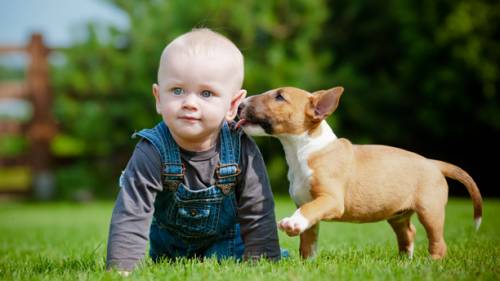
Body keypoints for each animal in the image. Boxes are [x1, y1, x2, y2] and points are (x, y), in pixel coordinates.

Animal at [236, 86, 482, 260]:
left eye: (280, 97)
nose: (240, 105)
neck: (304, 150)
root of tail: (434, 163)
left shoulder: (330, 199)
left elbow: (308, 210)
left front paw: (292, 224)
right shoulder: (306, 203)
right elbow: (309, 239)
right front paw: (308, 263)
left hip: (430, 210)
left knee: (438, 241)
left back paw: (431, 263)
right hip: (398, 214)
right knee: (408, 233)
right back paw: (404, 261)